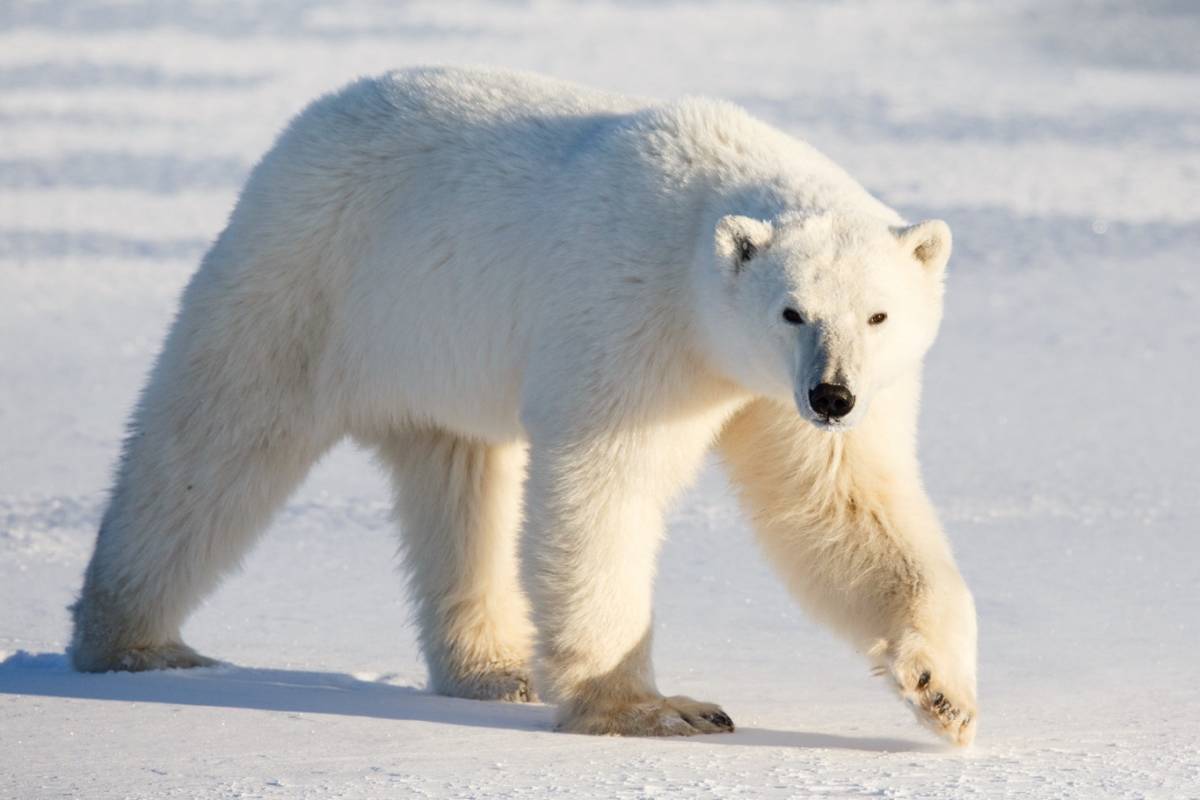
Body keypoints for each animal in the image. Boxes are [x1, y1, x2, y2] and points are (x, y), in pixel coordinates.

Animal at [70, 67, 979, 743]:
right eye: (791, 310)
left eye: (878, 314)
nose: (832, 394)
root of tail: (310, 120)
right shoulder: (631, 318)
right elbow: (604, 489)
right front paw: (655, 709)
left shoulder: (782, 393)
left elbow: (844, 506)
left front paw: (944, 693)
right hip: (309, 275)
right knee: (214, 440)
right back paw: (133, 641)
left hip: (434, 358)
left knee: (460, 484)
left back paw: (493, 668)